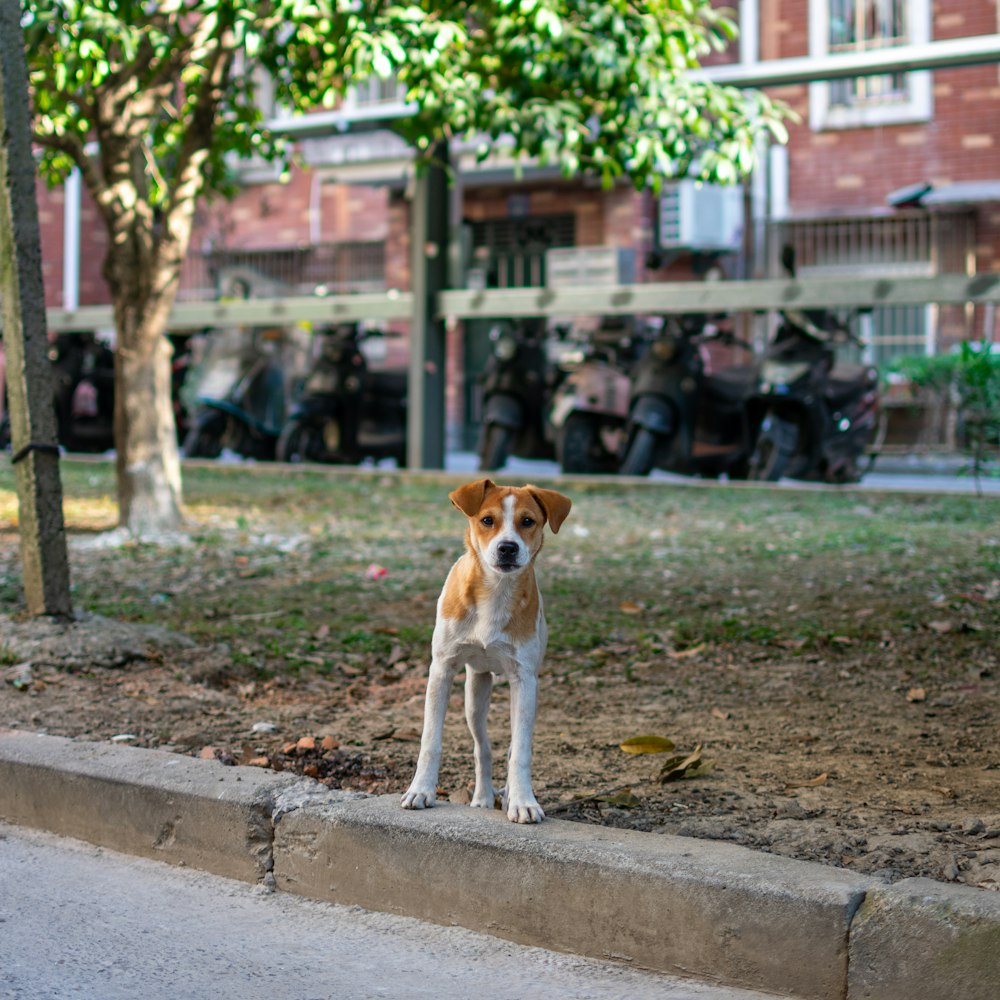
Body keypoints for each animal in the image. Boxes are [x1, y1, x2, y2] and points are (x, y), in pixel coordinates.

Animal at [398, 480, 572, 824]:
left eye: (528, 521)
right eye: (487, 520)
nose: (507, 547)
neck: (495, 590)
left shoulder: (525, 679)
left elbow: (520, 751)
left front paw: (523, 801)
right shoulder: (441, 669)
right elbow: (430, 740)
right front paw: (421, 791)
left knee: (512, 746)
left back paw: (508, 795)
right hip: (475, 692)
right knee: (483, 747)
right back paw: (482, 798)